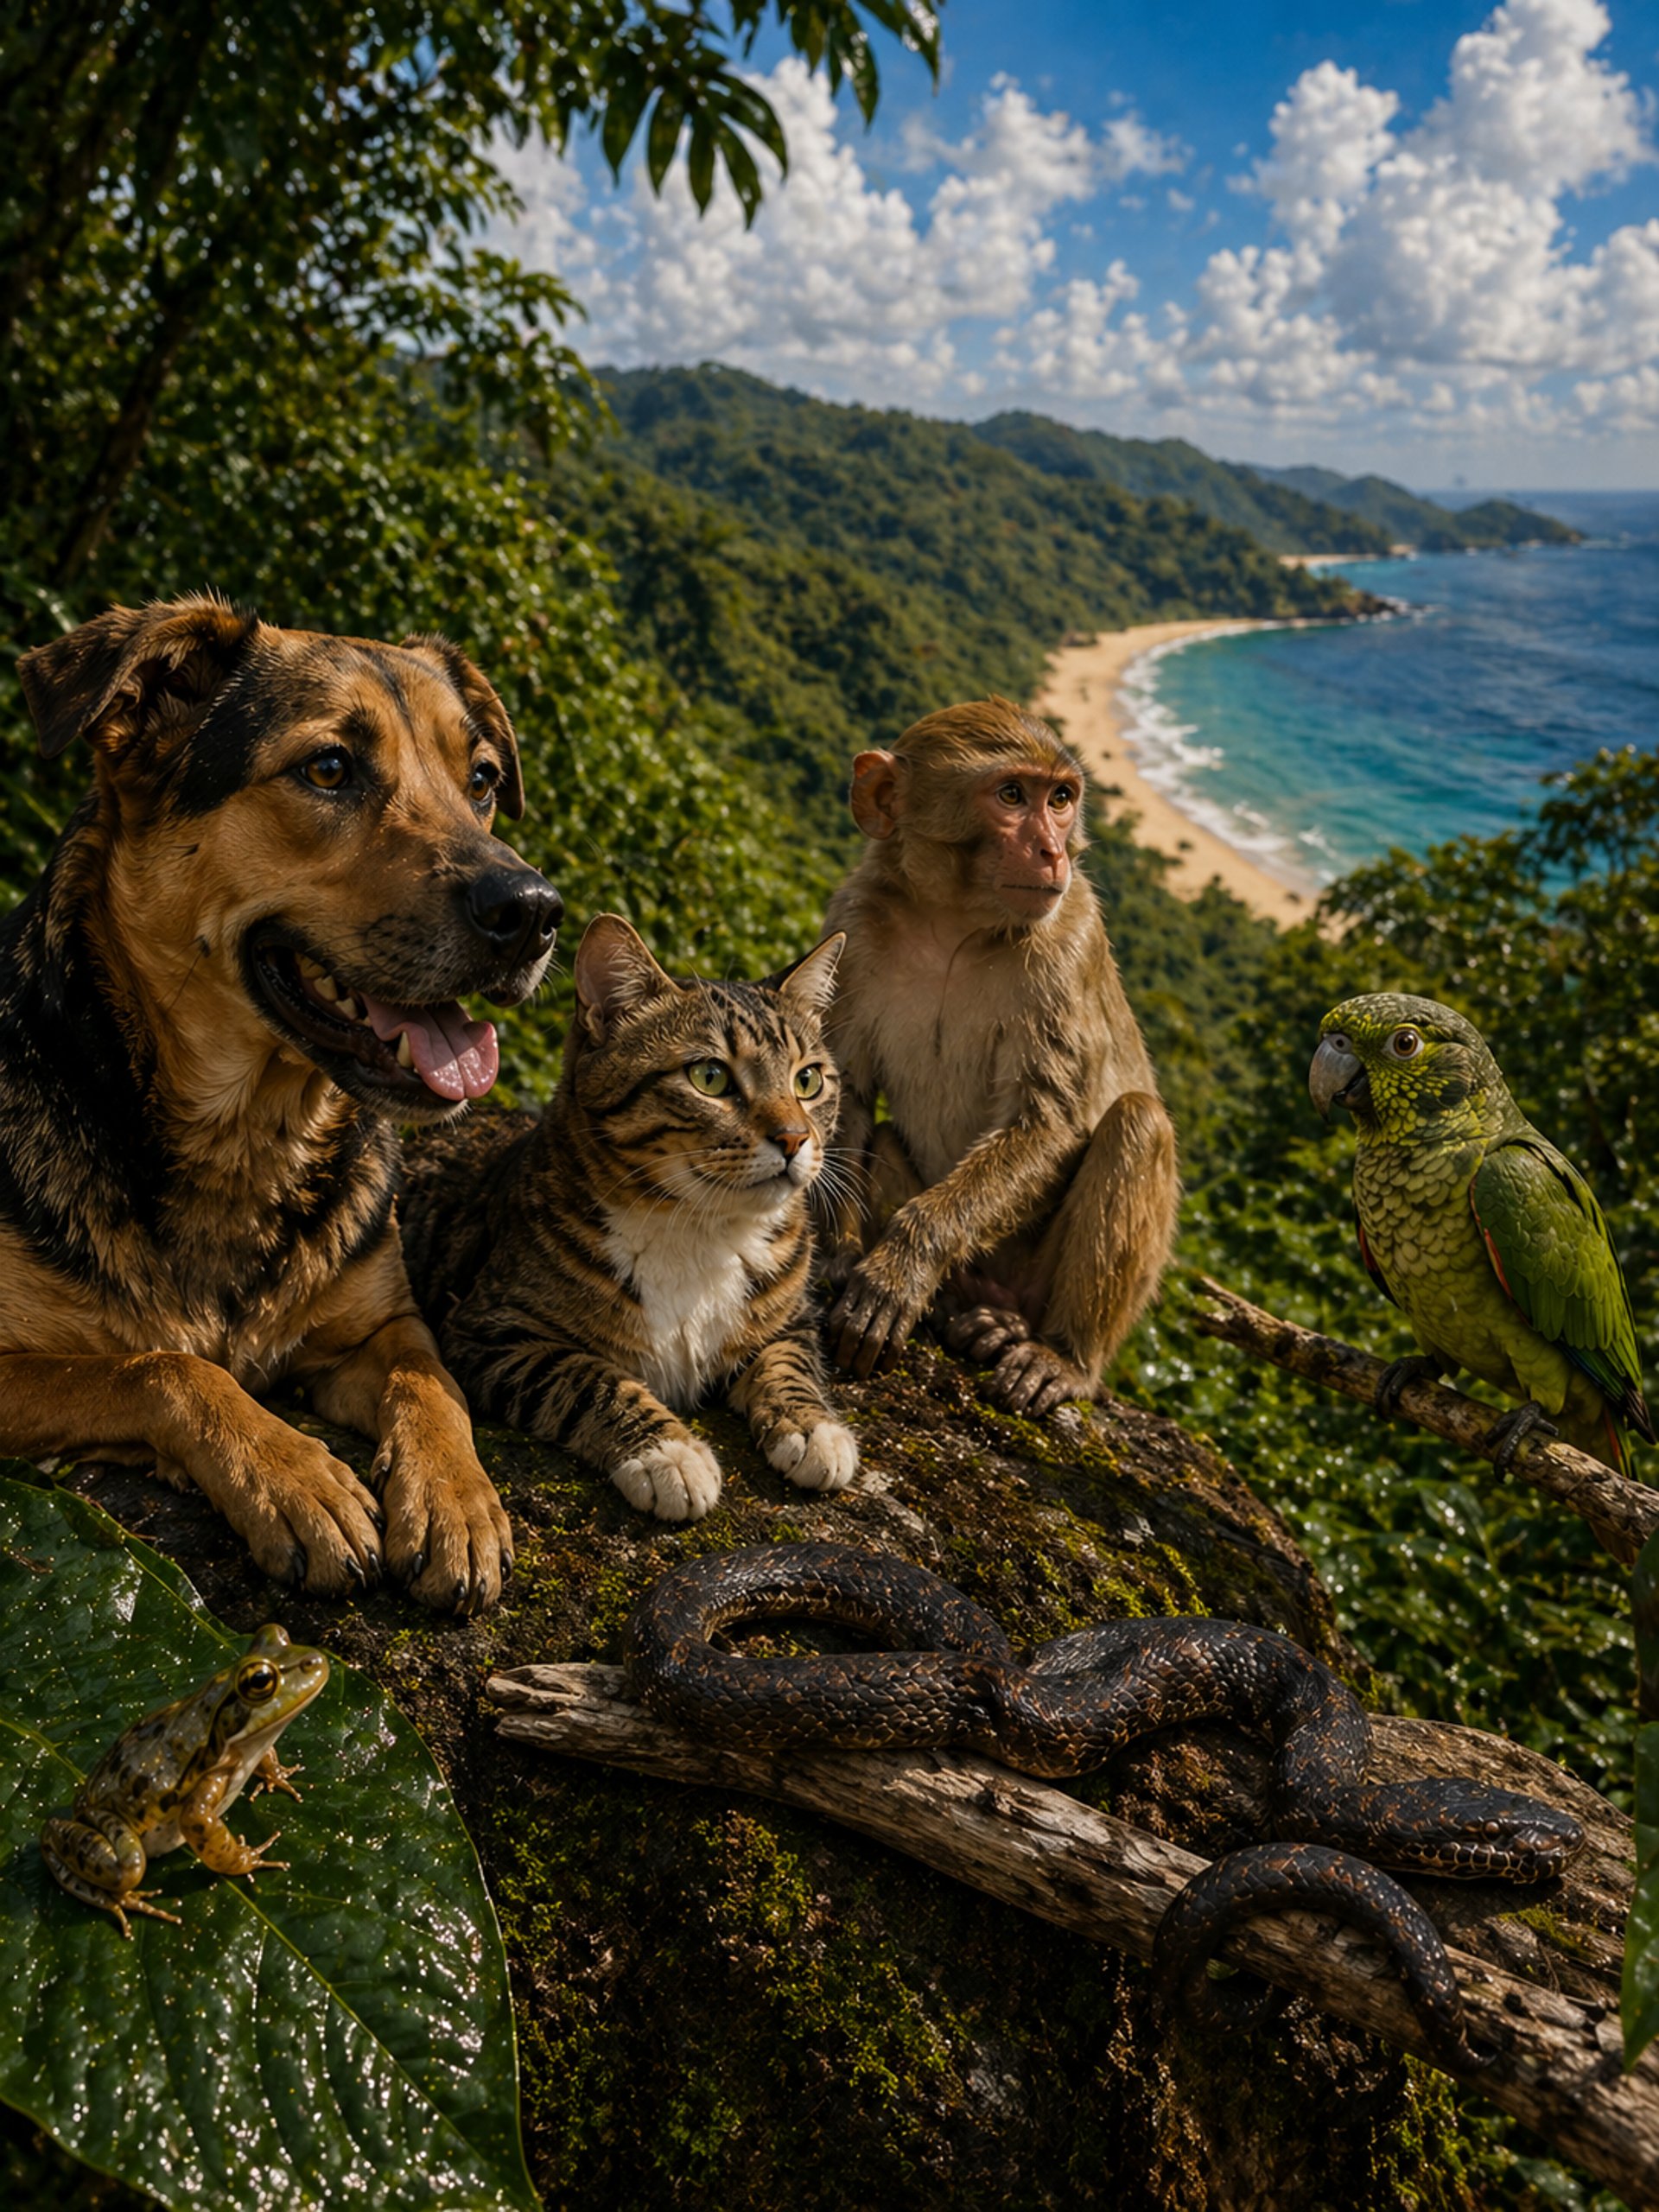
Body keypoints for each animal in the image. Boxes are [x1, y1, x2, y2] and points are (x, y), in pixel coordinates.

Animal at [817, 695, 1180, 1417]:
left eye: (1061, 799)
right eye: (1012, 795)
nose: (1052, 850)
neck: (952, 925)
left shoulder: (1069, 938)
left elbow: (1050, 1123)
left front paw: (902, 1265)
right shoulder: (852, 923)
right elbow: (843, 1092)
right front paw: (841, 1256)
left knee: (1137, 1123)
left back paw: (1053, 1351)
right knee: (889, 1139)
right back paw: (967, 1312)